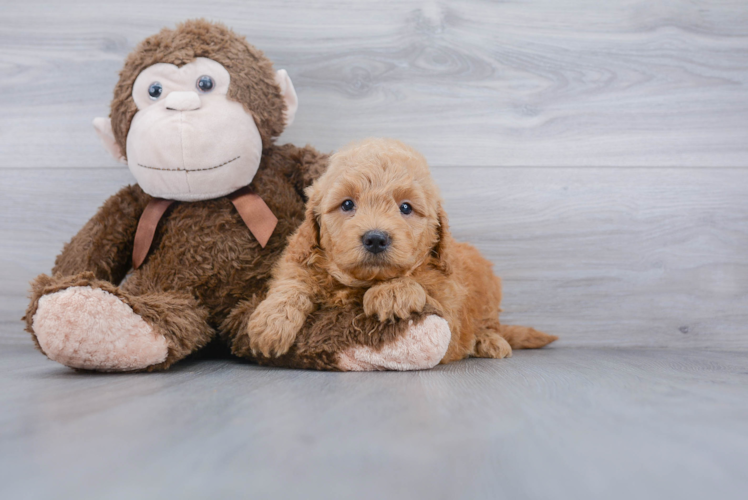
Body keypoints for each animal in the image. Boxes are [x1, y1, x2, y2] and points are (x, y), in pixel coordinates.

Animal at [247, 137, 556, 364]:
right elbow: (293, 283)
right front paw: (272, 323)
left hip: (489, 287)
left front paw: (392, 292)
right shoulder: (300, 257)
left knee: (490, 323)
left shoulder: (449, 301)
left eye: (405, 207)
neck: (362, 282)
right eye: (347, 204)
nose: (375, 239)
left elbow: (423, 285)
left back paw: (488, 340)